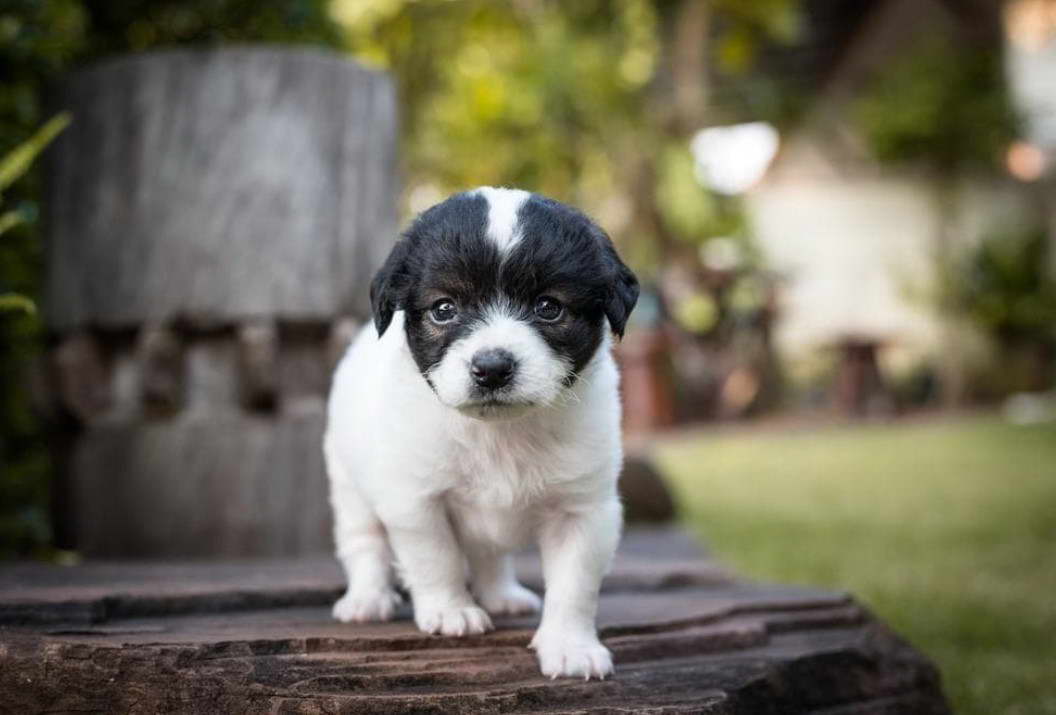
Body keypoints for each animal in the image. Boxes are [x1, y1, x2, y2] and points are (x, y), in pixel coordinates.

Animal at [321, 186, 637, 675]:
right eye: (444, 309)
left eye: (549, 308)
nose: (491, 368)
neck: (498, 434)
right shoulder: (415, 501)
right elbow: (436, 559)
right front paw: (451, 611)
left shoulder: (584, 511)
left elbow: (575, 587)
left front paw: (571, 645)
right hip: (349, 486)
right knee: (365, 544)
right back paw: (367, 599)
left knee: (490, 554)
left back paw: (502, 594)